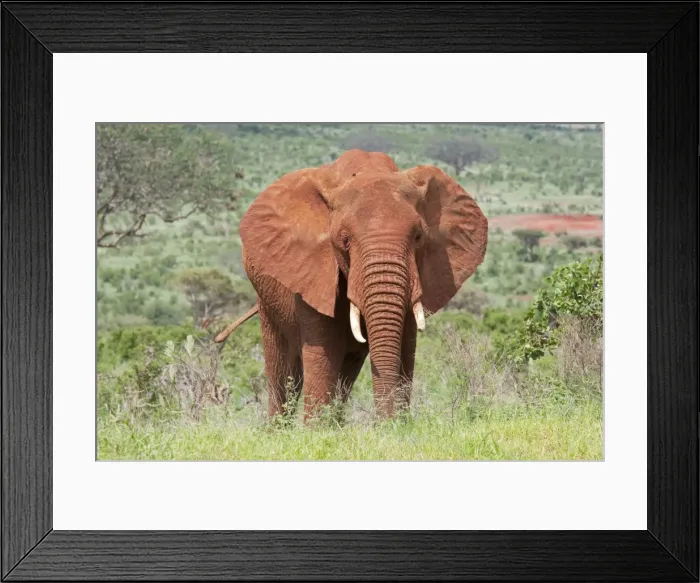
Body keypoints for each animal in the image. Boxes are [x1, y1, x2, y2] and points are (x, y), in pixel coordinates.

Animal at [216, 149, 488, 421]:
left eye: (419, 237)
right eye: (344, 240)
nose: (383, 424)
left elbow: (405, 345)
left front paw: (398, 423)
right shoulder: (313, 272)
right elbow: (324, 348)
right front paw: (318, 428)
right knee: (283, 368)